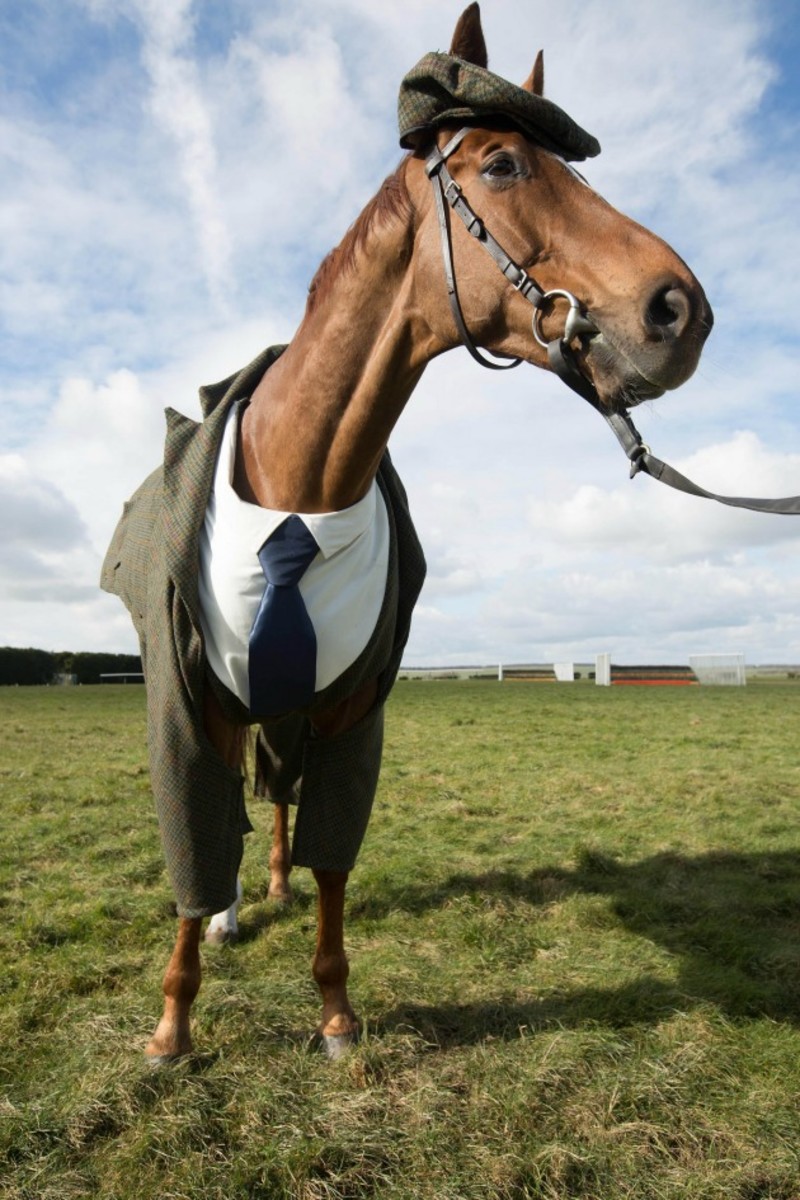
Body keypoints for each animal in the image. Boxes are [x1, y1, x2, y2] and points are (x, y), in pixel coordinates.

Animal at [101, 3, 713, 1062]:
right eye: (504, 164)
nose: (681, 309)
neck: (301, 481)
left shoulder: (351, 705)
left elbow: (332, 857)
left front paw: (336, 1011)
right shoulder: (187, 699)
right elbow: (194, 842)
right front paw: (174, 1021)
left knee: (278, 798)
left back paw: (266, 887)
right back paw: (231, 910)